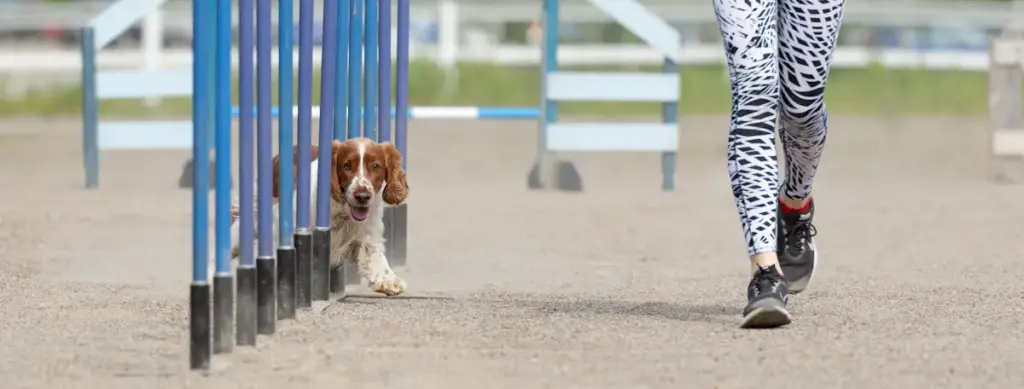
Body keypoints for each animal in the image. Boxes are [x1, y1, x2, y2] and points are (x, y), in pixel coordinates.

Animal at [211, 137, 407, 294]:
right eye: (346, 165)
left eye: (376, 166)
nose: (362, 196)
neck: (341, 211)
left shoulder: (366, 237)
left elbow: (376, 257)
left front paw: (389, 280)